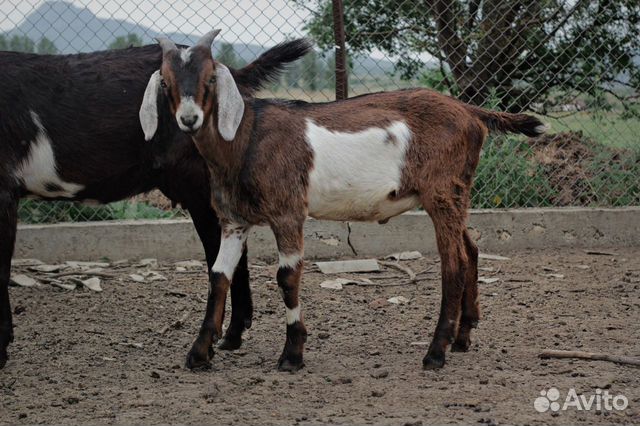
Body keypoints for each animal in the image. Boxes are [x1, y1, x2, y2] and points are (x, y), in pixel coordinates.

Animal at [142, 30, 548, 370]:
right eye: (166, 81)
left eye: (211, 78)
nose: (190, 119)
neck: (246, 138)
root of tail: (470, 111)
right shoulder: (233, 221)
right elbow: (218, 276)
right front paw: (198, 353)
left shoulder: (288, 212)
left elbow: (287, 276)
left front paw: (292, 354)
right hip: (455, 194)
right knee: (472, 248)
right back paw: (463, 337)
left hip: (442, 192)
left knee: (455, 263)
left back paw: (436, 352)